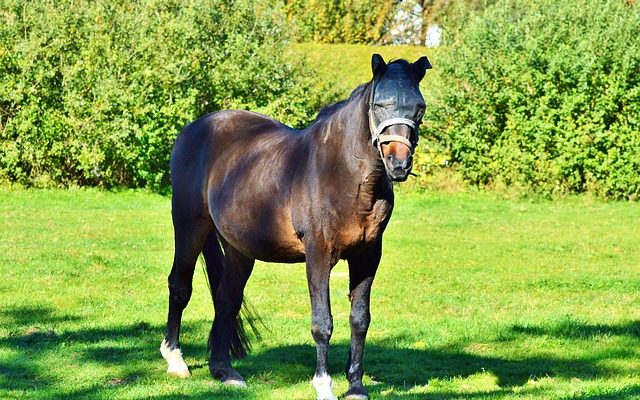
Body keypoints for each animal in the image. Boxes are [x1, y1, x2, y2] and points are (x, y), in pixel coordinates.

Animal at [161, 54, 430, 400]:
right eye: (379, 104)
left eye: (419, 108)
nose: (399, 164)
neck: (344, 175)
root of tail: (195, 128)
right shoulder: (318, 255)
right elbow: (322, 323)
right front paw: (324, 386)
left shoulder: (367, 256)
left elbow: (359, 320)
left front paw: (356, 387)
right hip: (189, 225)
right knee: (180, 286)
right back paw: (175, 360)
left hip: (238, 248)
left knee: (227, 298)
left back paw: (225, 371)